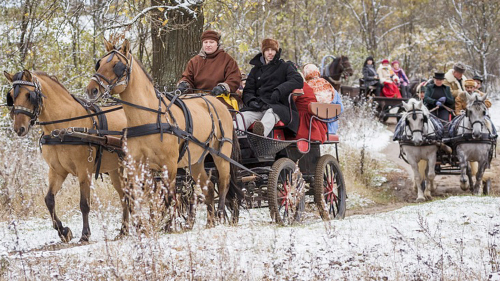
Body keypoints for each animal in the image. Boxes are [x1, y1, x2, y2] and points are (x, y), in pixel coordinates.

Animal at [3, 69, 127, 241]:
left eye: (29, 95)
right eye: (11, 96)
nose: (18, 128)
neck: (62, 127)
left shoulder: (84, 171)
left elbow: (84, 203)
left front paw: (85, 234)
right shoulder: (57, 171)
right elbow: (49, 199)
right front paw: (63, 231)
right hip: (116, 171)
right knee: (125, 196)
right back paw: (124, 230)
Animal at [86, 38, 240, 225]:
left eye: (117, 65)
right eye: (99, 64)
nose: (91, 90)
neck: (149, 117)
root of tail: (215, 101)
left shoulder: (170, 165)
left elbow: (169, 197)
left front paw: (169, 225)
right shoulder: (139, 166)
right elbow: (142, 197)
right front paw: (146, 225)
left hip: (221, 154)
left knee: (224, 183)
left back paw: (220, 215)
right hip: (196, 160)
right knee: (208, 188)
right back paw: (210, 223)